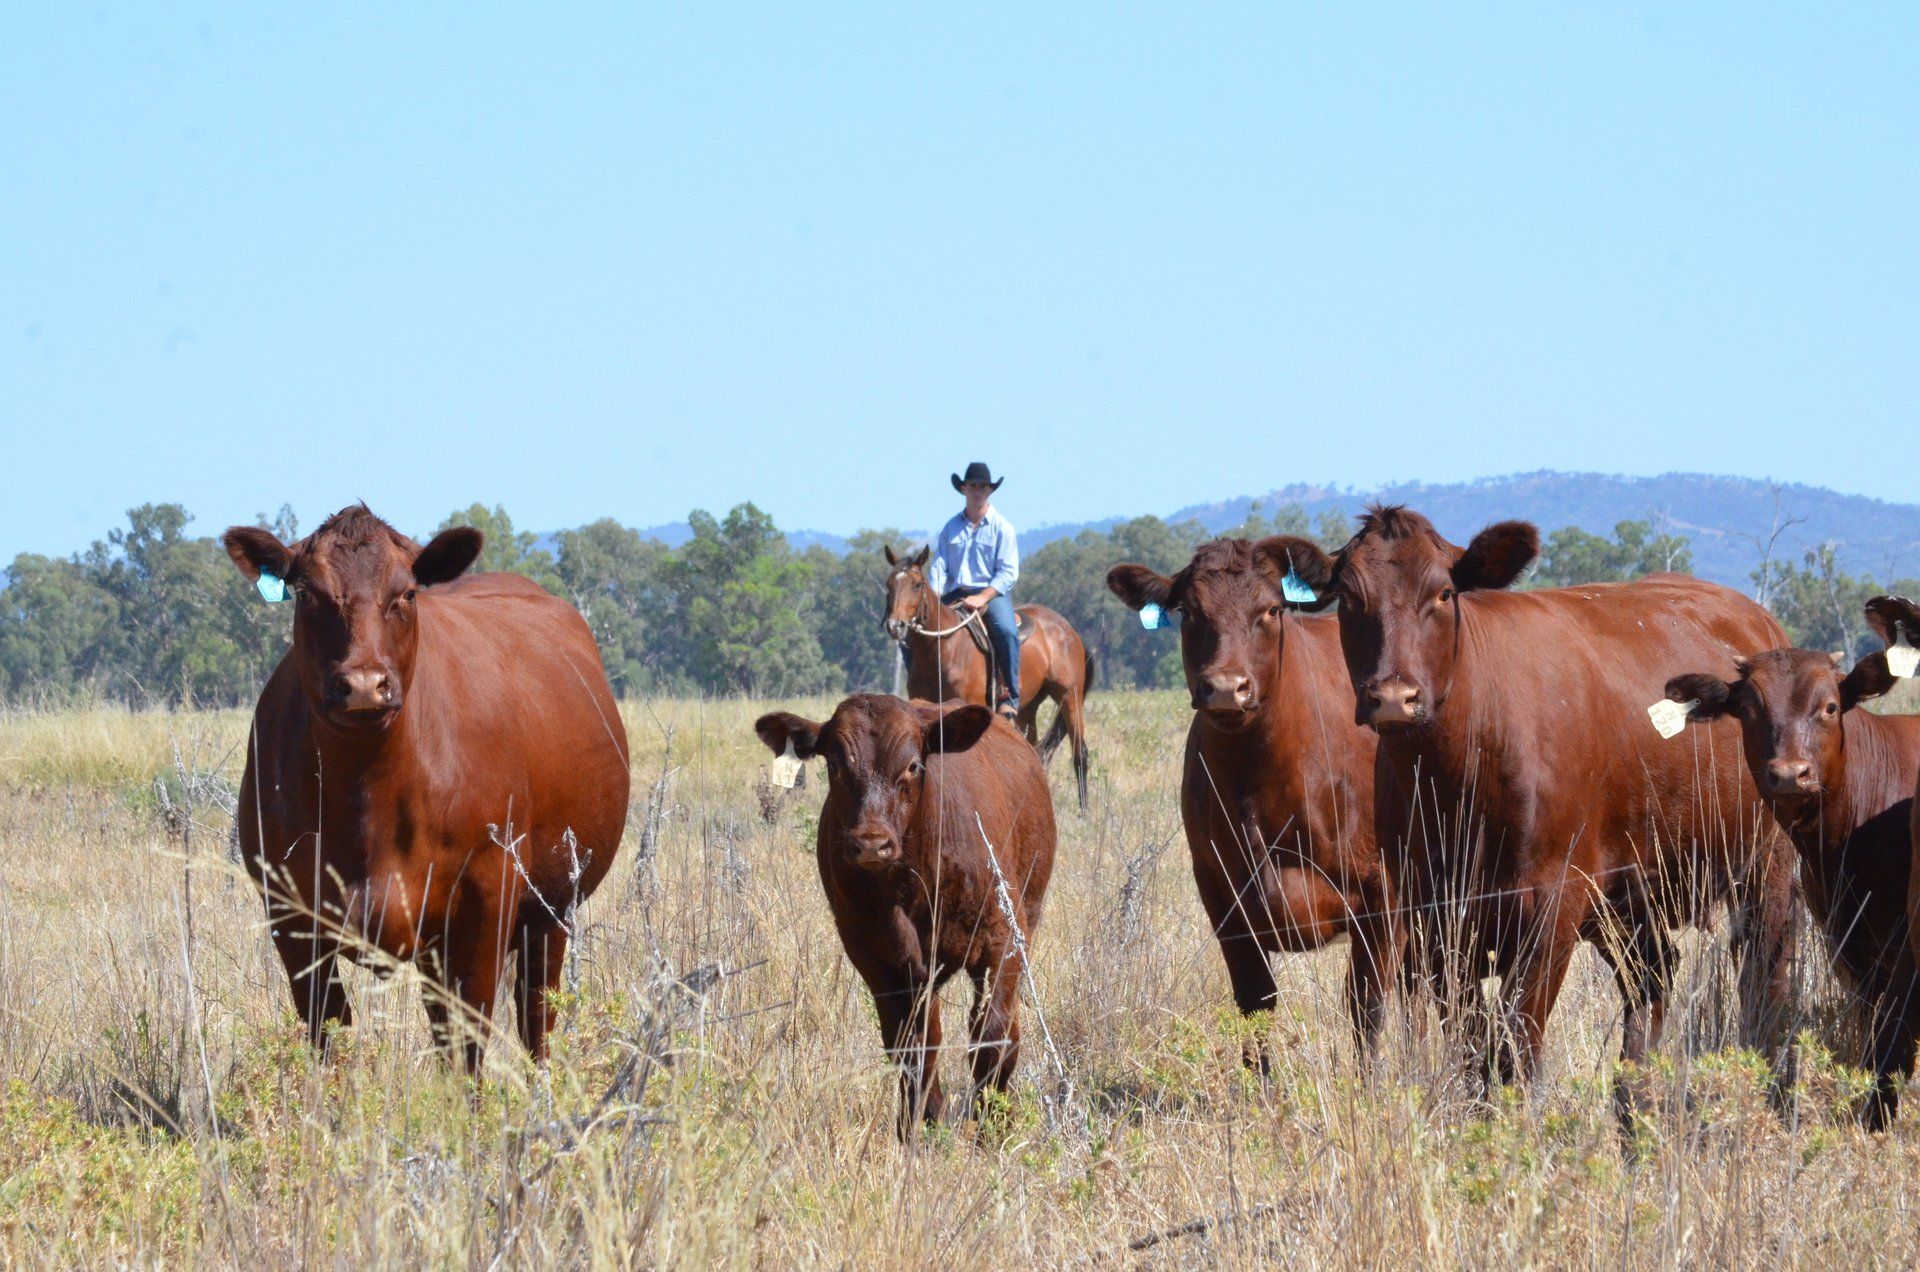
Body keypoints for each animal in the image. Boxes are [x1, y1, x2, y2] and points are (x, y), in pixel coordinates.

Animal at [222, 505, 631, 1071]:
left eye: (408, 593)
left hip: (550, 911)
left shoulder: (485, 900)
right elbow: (327, 1034)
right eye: (306, 593)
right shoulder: (289, 913)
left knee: (535, 1018)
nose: (364, 685)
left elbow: (470, 1038)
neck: (366, 798)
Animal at [753, 694, 1055, 1137]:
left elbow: (994, 1037)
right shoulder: (878, 958)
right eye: (834, 764)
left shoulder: (1003, 939)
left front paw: (992, 1126)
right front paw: (922, 1123)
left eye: (913, 765)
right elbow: (911, 1044)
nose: (871, 843)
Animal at [1106, 539, 1389, 1064]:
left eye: (1272, 609)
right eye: (1188, 611)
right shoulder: (1223, 897)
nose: (1225, 687)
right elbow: (1255, 1005)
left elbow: (1368, 1007)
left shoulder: (1381, 892)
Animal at [1267, 506, 1797, 1121]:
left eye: (1444, 593)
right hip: (1629, 892)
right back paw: (1632, 1106)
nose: (1394, 698)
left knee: (1764, 982)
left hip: (1767, 867)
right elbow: (1473, 1051)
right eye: (1350, 598)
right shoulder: (1432, 915)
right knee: (1653, 979)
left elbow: (1517, 1049)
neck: (1459, 780)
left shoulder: (1553, 905)